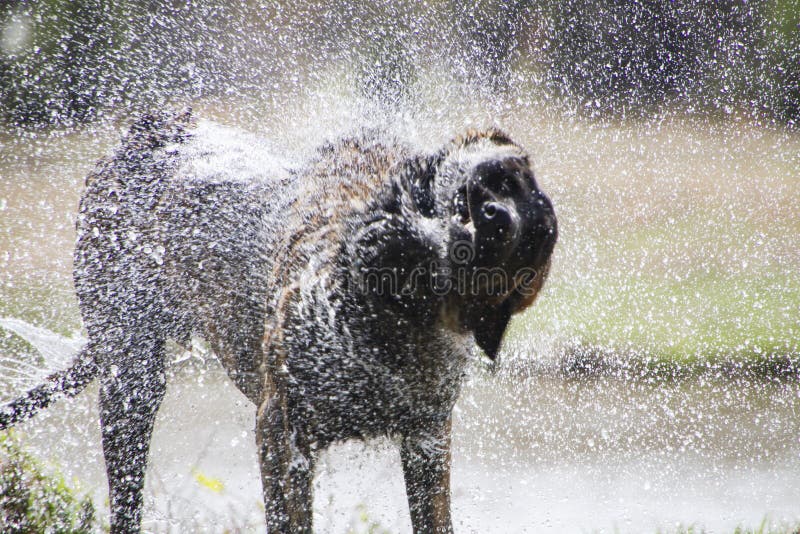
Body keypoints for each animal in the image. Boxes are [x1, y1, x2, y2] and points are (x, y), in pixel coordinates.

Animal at [0, 111, 560, 532]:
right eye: (489, 185)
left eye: (532, 232)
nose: (496, 218)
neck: (388, 316)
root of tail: (147, 131)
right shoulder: (281, 433)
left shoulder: (427, 440)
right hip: (131, 382)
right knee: (126, 500)